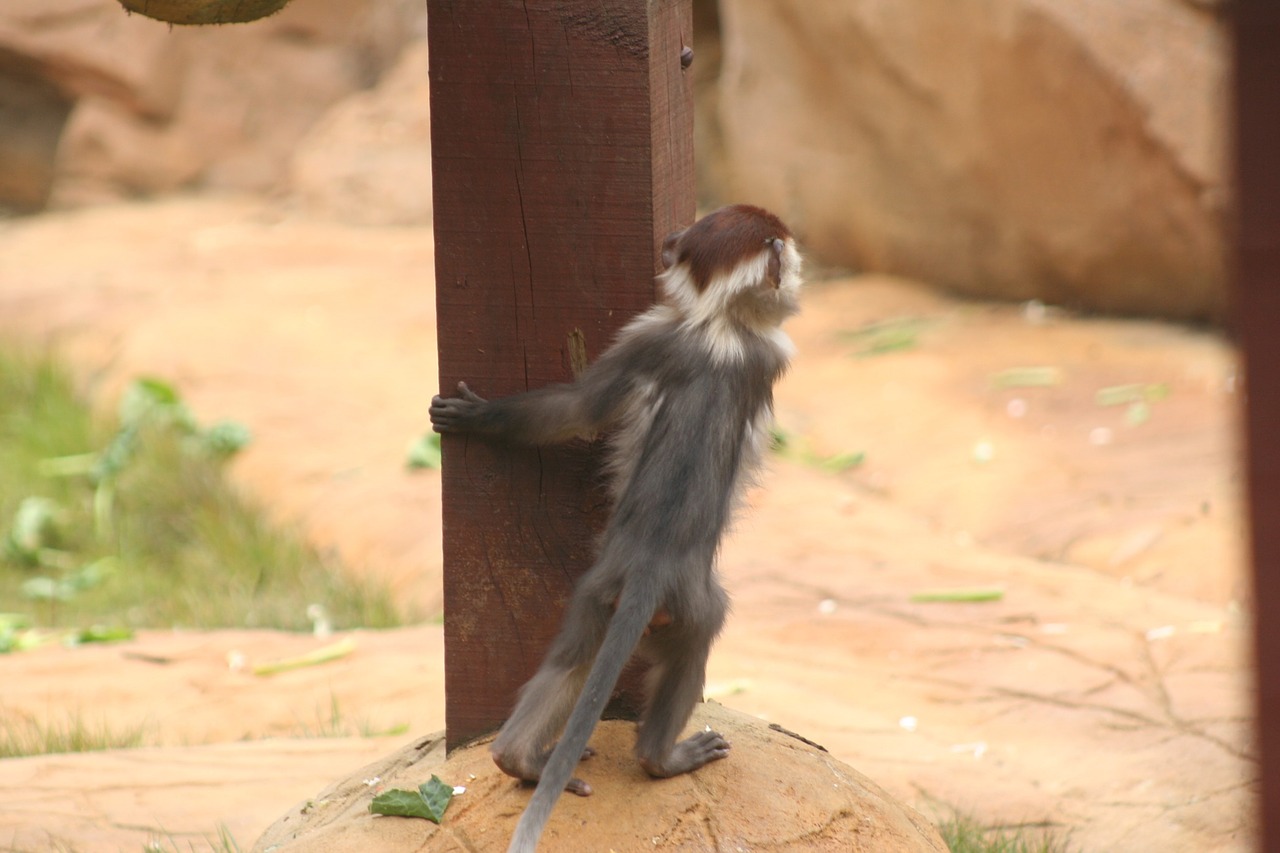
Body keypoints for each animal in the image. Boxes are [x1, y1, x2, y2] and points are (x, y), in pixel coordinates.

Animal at [430, 202, 798, 845]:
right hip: (690, 605)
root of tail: (649, 568)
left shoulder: (649, 334)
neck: (719, 325)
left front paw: (477, 418)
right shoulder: (765, 351)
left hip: (595, 593)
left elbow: (579, 410)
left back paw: (518, 759)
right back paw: (660, 758)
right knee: (699, 635)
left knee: (573, 657)